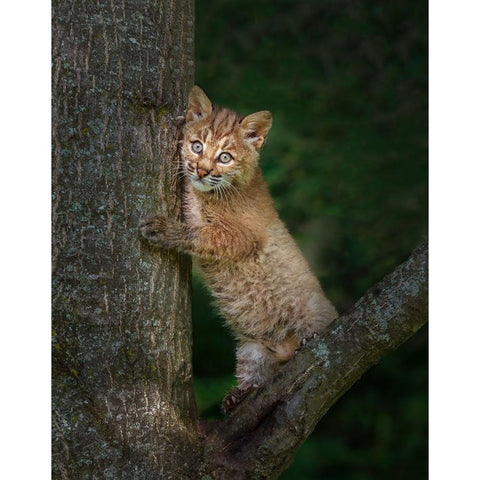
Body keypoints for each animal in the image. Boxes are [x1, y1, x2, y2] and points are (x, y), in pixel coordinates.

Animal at [140, 85, 338, 412]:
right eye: (197, 146)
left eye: (225, 157)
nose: (201, 169)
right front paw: (184, 128)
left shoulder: (243, 236)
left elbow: (198, 227)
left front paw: (164, 229)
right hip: (251, 348)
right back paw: (240, 394)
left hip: (314, 312)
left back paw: (306, 342)